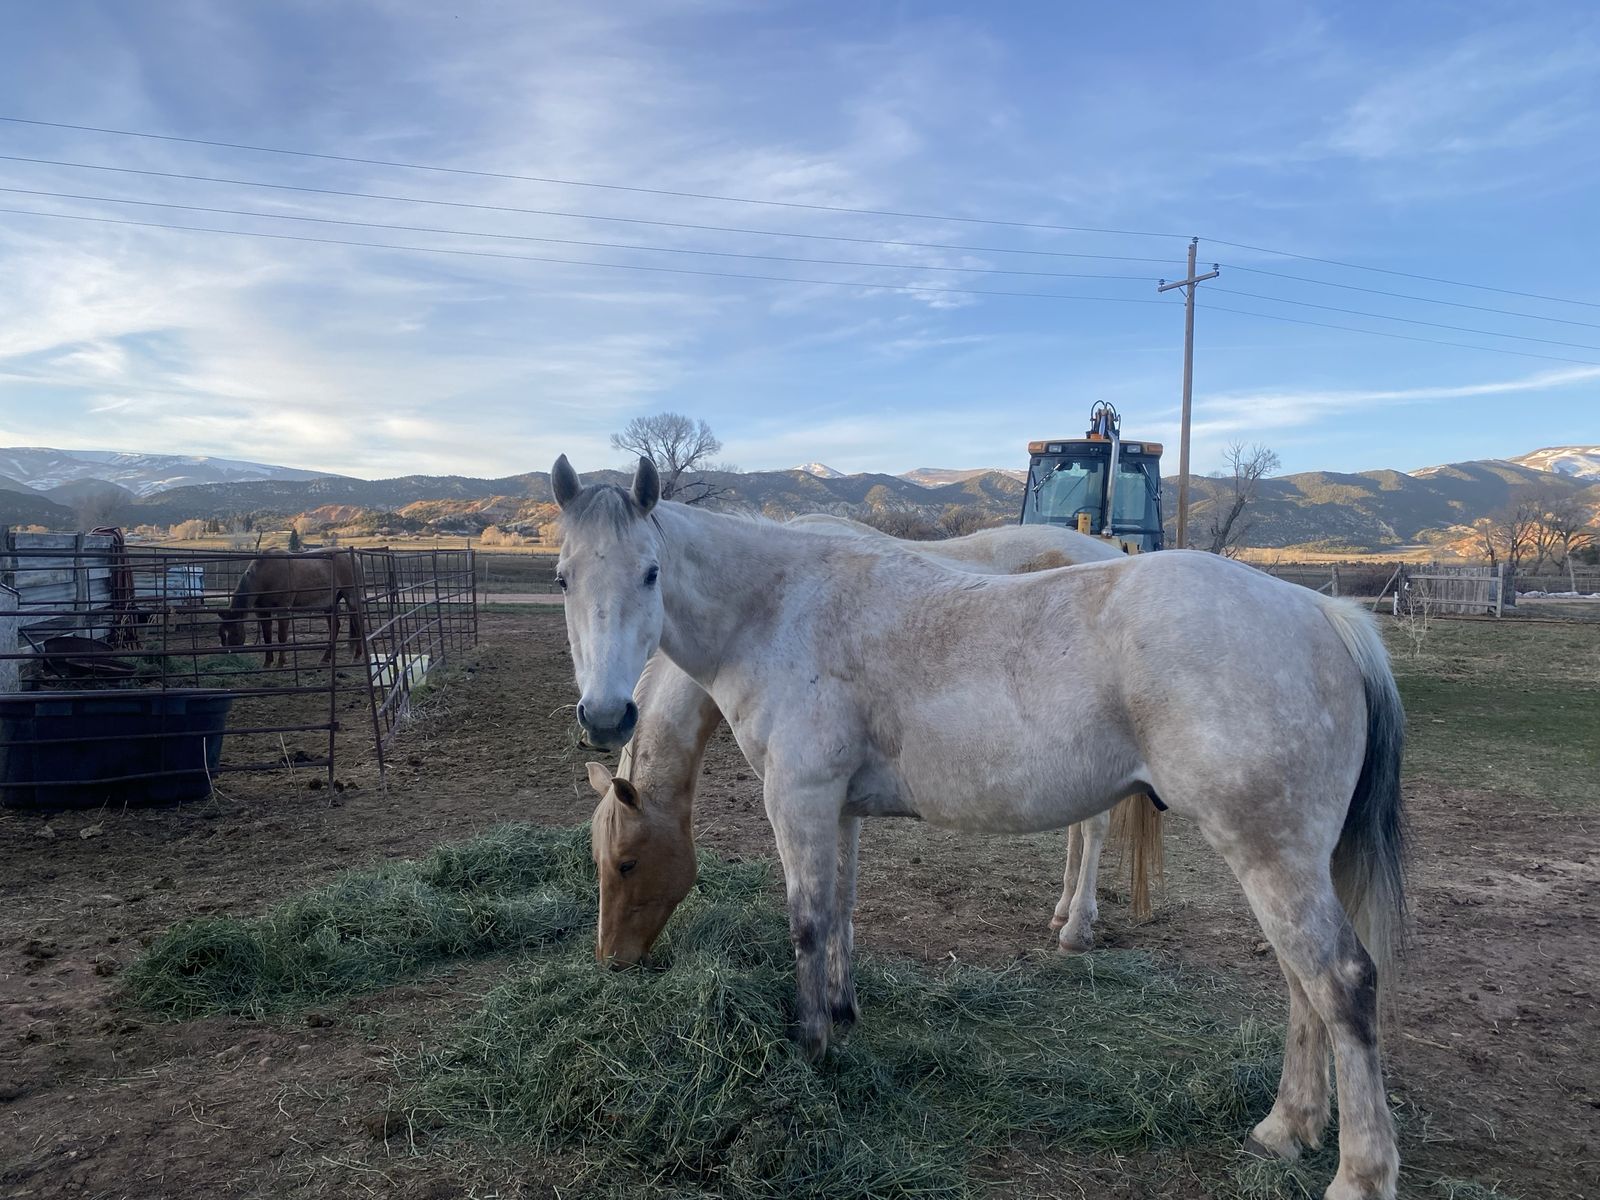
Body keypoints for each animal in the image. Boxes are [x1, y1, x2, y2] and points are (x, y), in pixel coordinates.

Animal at [218, 551, 365, 667]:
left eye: (235, 633)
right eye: (221, 634)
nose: (228, 658)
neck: (265, 575)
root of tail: (354, 557)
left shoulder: (283, 610)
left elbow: (282, 636)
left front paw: (281, 662)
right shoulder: (262, 612)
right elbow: (267, 636)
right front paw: (267, 663)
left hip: (351, 598)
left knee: (358, 624)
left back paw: (357, 656)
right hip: (330, 604)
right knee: (335, 628)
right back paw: (325, 659)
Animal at [585, 516, 1164, 967]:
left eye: (626, 863)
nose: (612, 959)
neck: (765, 607)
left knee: (1093, 829)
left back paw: (1077, 927)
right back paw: (1062, 910)